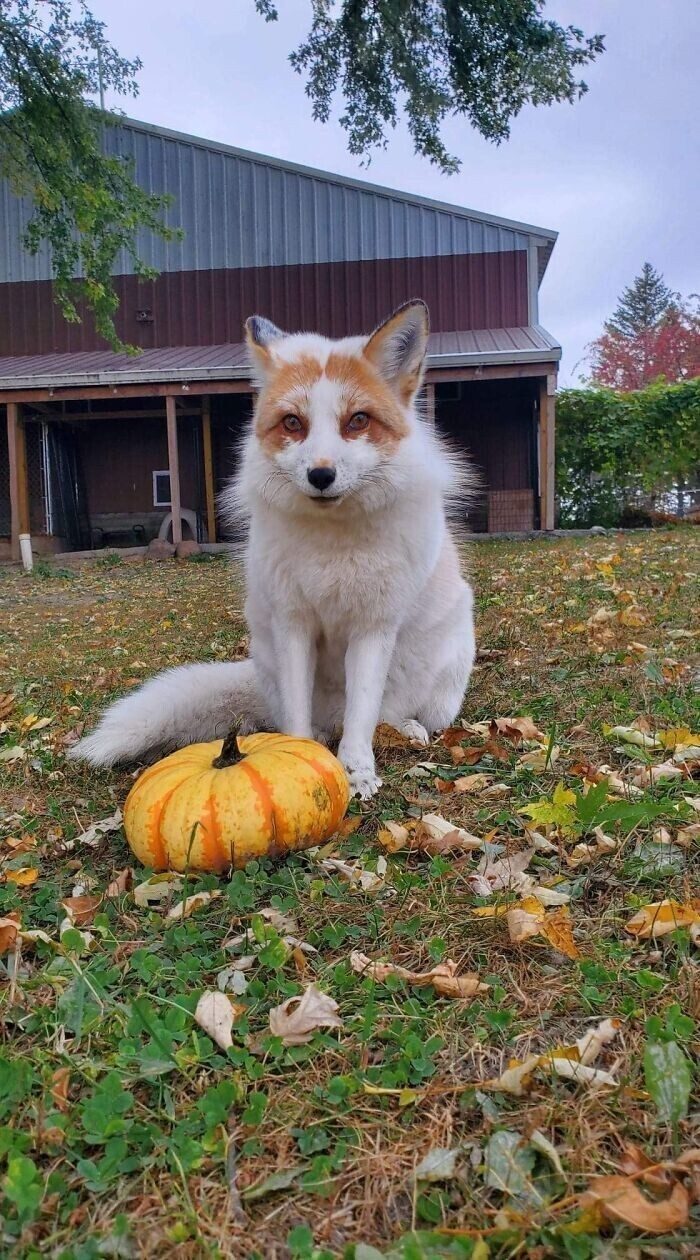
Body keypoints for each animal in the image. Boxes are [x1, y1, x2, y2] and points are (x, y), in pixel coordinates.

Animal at [71, 301, 475, 796]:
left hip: (443, 680)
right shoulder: (293, 622)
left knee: (384, 715)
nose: (320, 476)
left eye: (357, 420)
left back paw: (406, 730)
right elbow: (299, 721)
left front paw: (356, 770)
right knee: (308, 719)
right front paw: (300, 756)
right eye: (293, 423)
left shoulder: (372, 626)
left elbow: (362, 716)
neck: (330, 548)